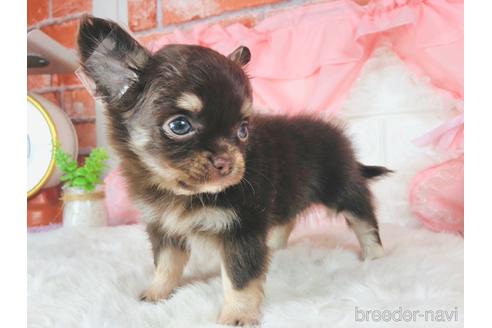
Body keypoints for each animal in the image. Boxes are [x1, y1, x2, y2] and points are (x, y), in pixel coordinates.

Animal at [78, 15, 392, 326]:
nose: (227, 162)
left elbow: (240, 279)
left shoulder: (241, 230)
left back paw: (376, 255)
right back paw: (275, 244)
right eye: (179, 125)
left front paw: (238, 315)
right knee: (287, 218)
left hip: (342, 190)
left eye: (243, 130)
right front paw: (157, 293)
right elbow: (167, 264)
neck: (181, 192)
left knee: (364, 219)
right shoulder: (164, 227)